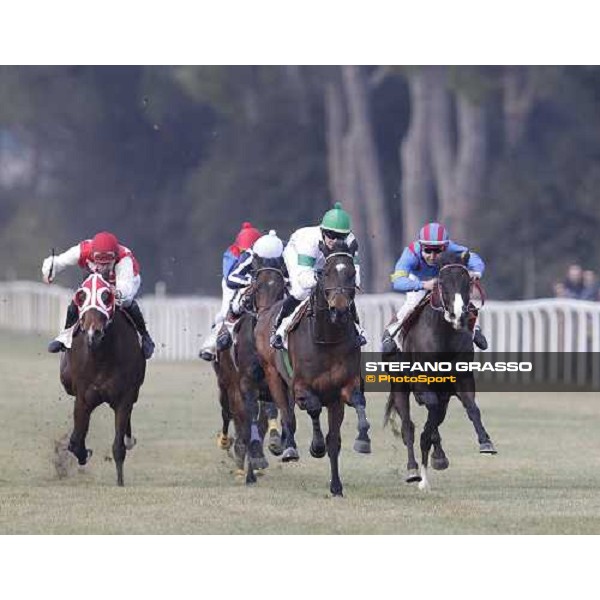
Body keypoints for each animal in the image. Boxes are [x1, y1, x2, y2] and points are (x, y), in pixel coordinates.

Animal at [59, 274, 146, 486]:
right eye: (81, 296)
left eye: (106, 296)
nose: (94, 333)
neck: (101, 357)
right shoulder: (83, 398)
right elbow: (75, 442)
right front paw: (83, 453)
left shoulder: (124, 398)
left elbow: (118, 446)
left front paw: (120, 482)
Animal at [254, 239, 368, 496]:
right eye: (325, 273)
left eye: (352, 273)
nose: (339, 310)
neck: (327, 339)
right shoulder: (301, 387)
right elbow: (313, 408)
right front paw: (316, 446)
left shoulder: (342, 391)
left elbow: (354, 409)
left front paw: (362, 440)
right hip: (273, 375)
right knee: (287, 414)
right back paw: (289, 448)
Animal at [386, 251, 494, 490]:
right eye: (441, 283)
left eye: (467, 281)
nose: (458, 315)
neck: (443, 337)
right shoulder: (421, 384)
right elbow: (428, 417)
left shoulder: (462, 379)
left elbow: (472, 408)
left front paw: (485, 441)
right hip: (399, 386)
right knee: (408, 426)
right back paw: (413, 470)